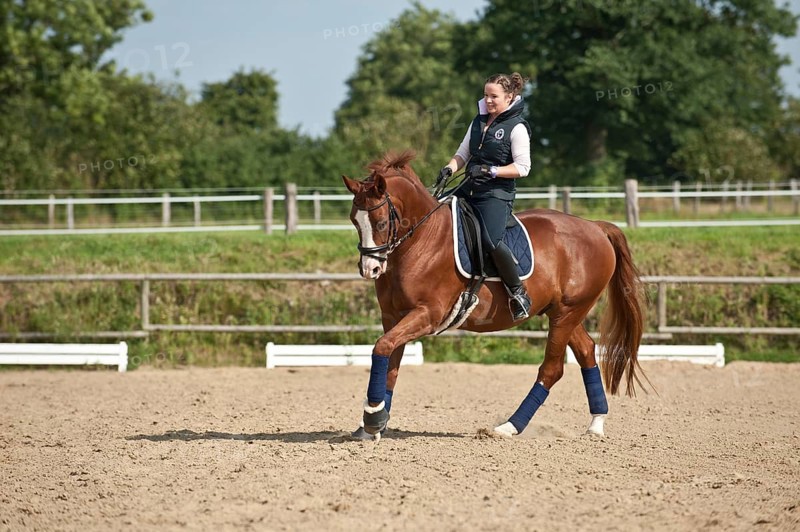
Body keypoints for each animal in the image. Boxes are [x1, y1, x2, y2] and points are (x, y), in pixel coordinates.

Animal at [342, 150, 647, 441]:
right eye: (354, 221)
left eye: (381, 222)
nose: (370, 269)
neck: (421, 241)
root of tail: (595, 227)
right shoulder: (392, 317)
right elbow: (390, 363)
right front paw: (373, 424)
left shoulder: (427, 315)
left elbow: (382, 347)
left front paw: (373, 417)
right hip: (562, 312)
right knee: (585, 351)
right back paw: (596, 424)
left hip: (568, 312)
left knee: (551, 369)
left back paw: (509, 427)